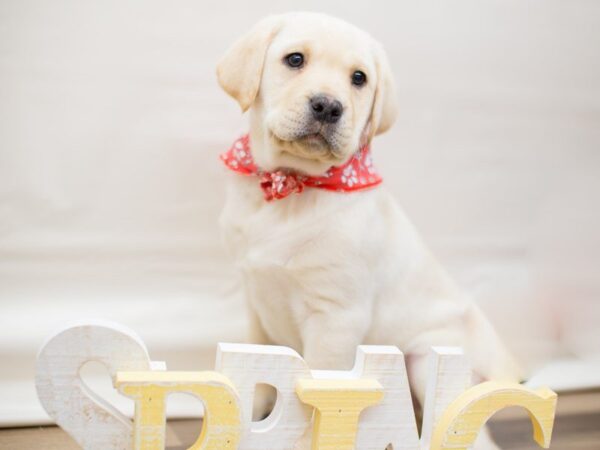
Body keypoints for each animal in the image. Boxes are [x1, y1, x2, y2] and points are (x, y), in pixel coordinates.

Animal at [217, 12, 520, 448]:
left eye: (358, 78)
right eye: (295, 59)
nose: (328, 106)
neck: (291, 187)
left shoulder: (335, 318)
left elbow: (317, 395)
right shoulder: (256, 304)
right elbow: (259, 377)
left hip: (425, 360)